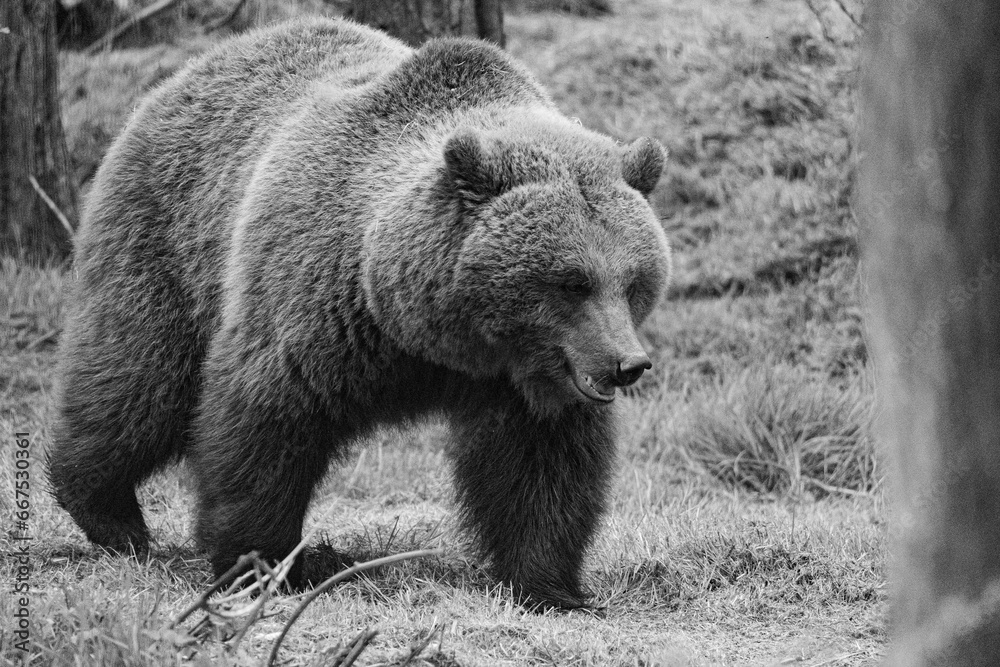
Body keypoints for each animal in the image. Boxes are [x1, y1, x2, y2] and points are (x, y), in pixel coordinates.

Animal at [46, 16, 671, 609]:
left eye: (633, 281)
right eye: (573, 282)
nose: (627, 364)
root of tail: (188, 72)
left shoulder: (527, 379)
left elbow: (543, 464)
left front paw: (551, 587)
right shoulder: (317, 306)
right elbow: (265, 421)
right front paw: (257, 565)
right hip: (167, 245)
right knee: (139, 385)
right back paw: (111, 516)